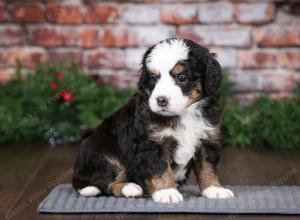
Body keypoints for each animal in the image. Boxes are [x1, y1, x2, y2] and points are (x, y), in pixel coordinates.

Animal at [72, 37, 234, 203]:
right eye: (153, 78)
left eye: (182, 77)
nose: (161, 100)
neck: (184, 114)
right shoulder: (151, 142)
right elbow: (160, 168)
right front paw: (167, 191)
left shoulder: (207, 139)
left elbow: (207, 167)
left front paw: (214, 189)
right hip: (103, 154)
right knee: (103, 182)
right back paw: (130, 188)